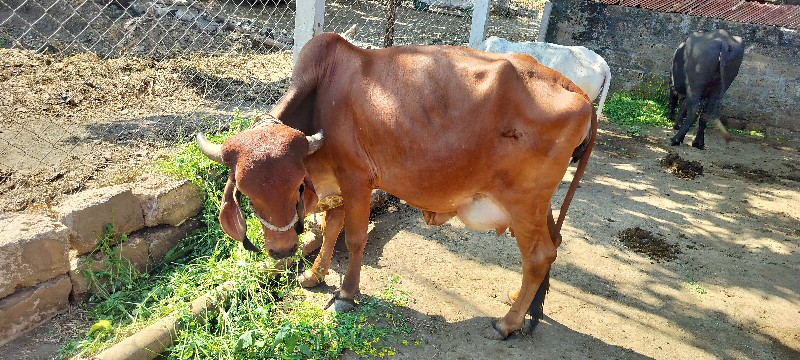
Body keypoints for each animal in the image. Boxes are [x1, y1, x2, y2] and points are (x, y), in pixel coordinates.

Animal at [197, 32, 596, 338]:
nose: (281, 250)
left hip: (523, 201)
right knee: (553, 243)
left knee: (539, 254)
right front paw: (313, 275)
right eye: (247, 194)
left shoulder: (357, 178)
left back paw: (508, 322)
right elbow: (330, 227)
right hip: (536, 203)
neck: (321, 95)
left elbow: (354, 238)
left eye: (297, 184)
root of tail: (578, 93)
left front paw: (346, 294)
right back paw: (524, 303)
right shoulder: (339, 186)